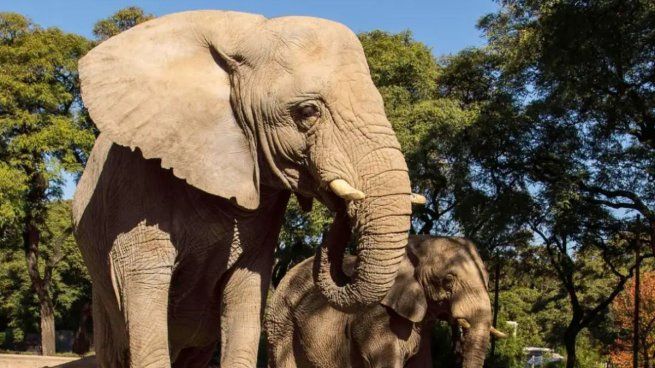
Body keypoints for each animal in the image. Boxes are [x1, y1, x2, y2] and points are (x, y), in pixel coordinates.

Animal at [73, 10, 420, 368]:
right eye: (308, 111)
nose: (340, 206)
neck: (241, 36)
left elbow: (246, 289)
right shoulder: (135, 181)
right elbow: (145, 286)